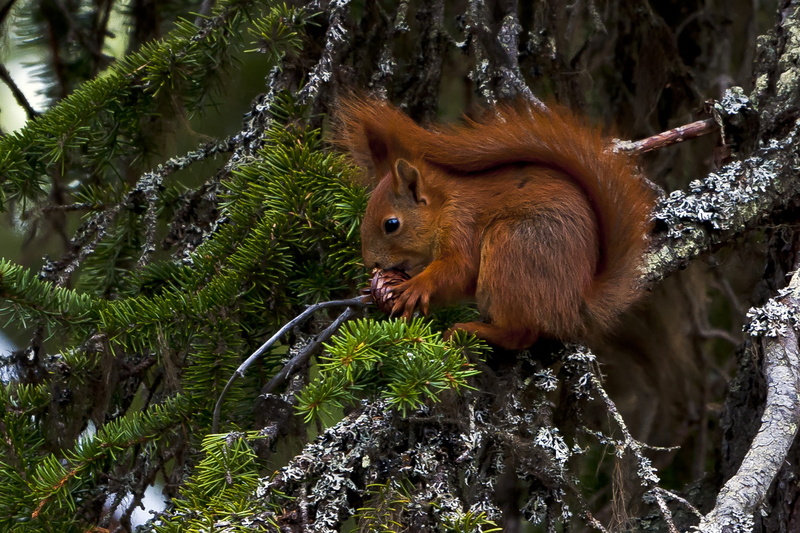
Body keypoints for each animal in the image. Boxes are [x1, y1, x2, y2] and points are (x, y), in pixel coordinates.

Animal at [335, 97, 654, 350]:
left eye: (391, 224)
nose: (371, 264)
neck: (445, 204)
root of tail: (575, 303)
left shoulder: (462, 225)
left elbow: (459, 268)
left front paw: (416, 286)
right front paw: (374, 290)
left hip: (511, 249)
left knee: (521, 335)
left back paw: (472, 330)